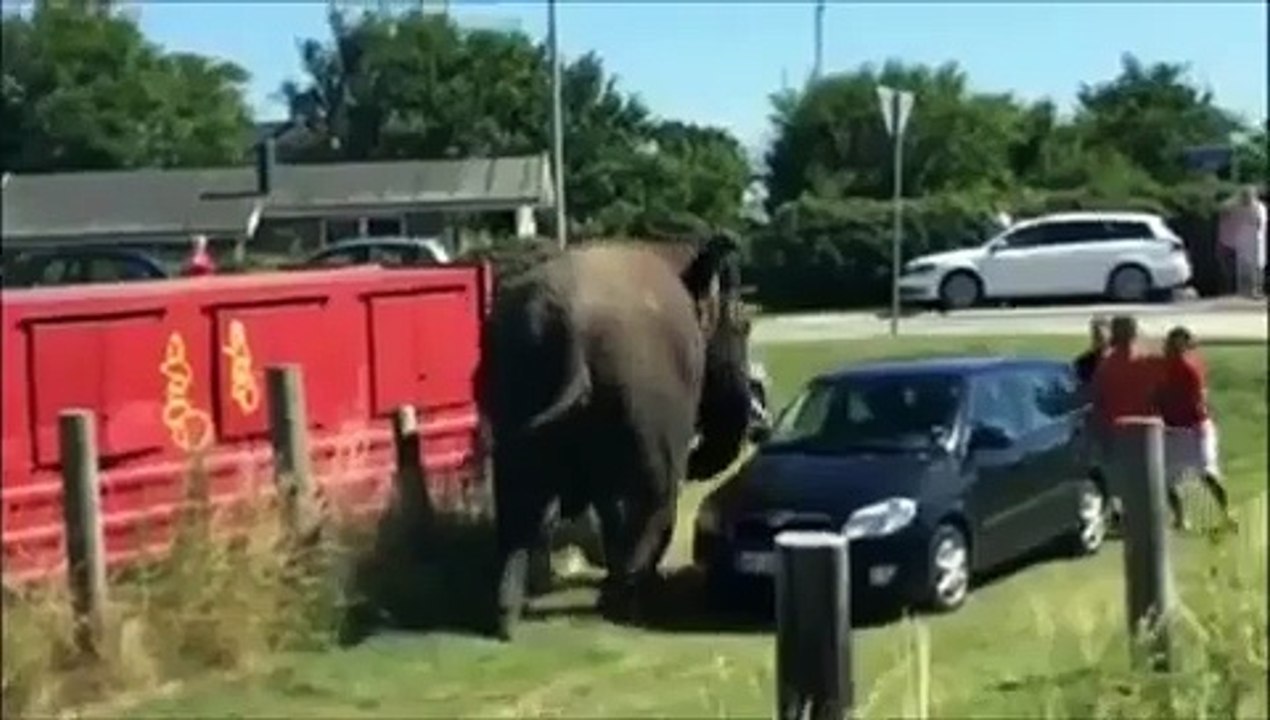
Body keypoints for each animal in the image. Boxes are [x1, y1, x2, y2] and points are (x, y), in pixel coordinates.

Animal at [473, 234, 754, 641]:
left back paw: (508, 620)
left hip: (517, 386)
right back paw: (625, 599)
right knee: (648, 496)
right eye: (744, 326)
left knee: (519, 502)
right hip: (637, 393)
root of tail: (570, 329)